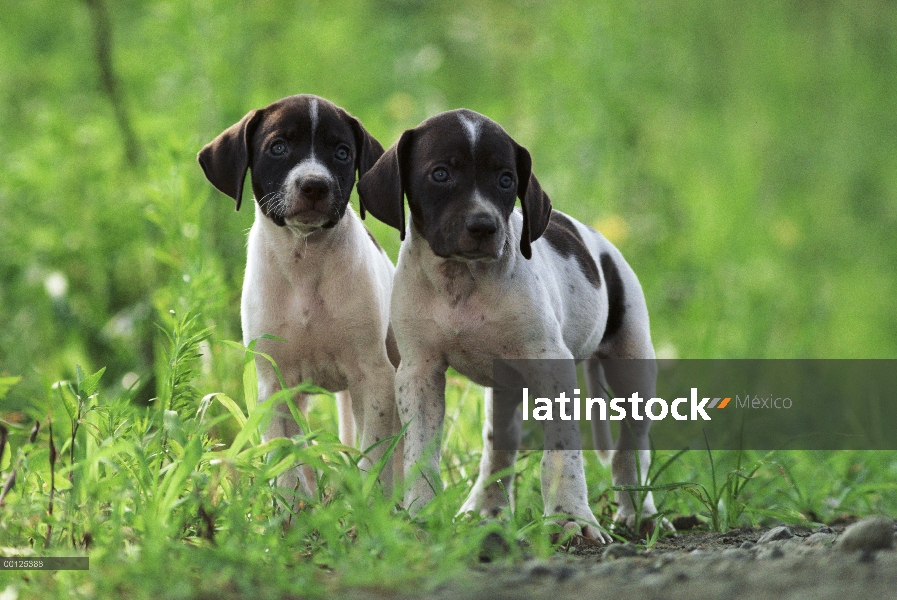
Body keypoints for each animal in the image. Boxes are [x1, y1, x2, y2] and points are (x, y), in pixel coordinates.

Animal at [201, 96, 400, 504]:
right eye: (278, 147)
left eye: (342, 153)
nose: (314, 185)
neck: (306, 261)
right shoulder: (274, 384)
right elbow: (287, 460)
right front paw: (294, 510)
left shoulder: (374, 376)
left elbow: (374, 456)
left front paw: (371, 507)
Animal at [358, 109, 664, 544]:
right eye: (440, 174)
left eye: (505, 179)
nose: (484, 226)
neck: (463, 281)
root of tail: (600, 243)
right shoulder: (418, 373)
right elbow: (421, 452)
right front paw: (420, 515)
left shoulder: (550, 365)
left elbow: (560, 453)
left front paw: (570, 518)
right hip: (503, 390)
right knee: (499, 448)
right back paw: (485, 509)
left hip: (632, 366)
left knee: (631, 447)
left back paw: (640, 513)